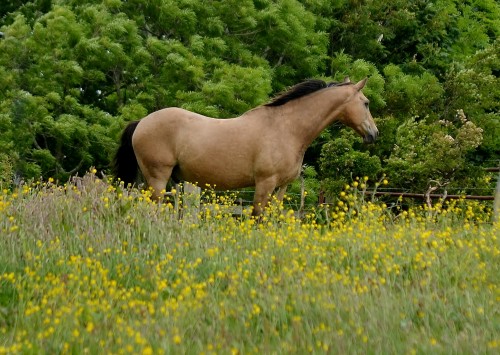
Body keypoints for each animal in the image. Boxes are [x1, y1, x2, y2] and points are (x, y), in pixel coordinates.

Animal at [114, 77, 378, 217]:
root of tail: (141, 123)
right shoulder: (264, 184)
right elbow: (257, 218)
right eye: (365, 103)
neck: (286, 127)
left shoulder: (280, 187)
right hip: (157, 179)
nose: (374, 134)